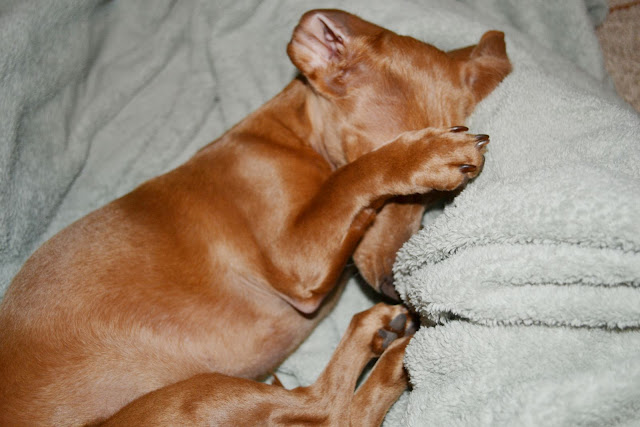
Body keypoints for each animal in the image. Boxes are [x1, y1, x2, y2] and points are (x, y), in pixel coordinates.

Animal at [0, 9, 511, 426]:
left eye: (432, 203)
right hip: (190, 398)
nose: (392, 287)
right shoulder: (294, 257)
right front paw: (422, 155)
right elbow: (355, 178)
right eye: (408, 192)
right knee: (323, 406)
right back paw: (396, 346)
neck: (290, 137)